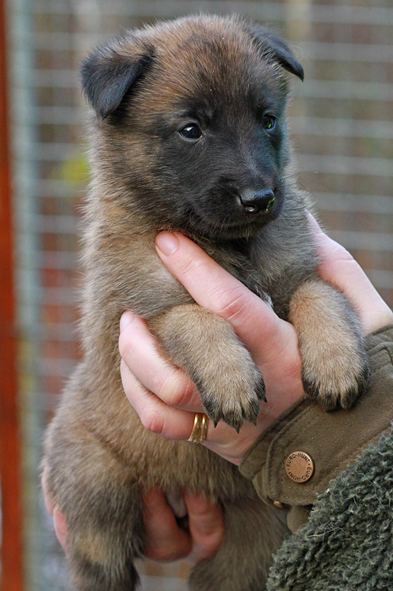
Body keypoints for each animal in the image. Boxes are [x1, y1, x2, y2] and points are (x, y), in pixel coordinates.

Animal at [43, 13, 368, 591]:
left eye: (267, 120)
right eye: (191, 129)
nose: (260, 197)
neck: (230, 247)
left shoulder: (299, 269)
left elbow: (319, 294)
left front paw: (335, 363)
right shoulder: (134, 317)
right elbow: (195, 316)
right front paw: (231, 380)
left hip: (250, 546)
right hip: (94, 488)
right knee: (103, 559)